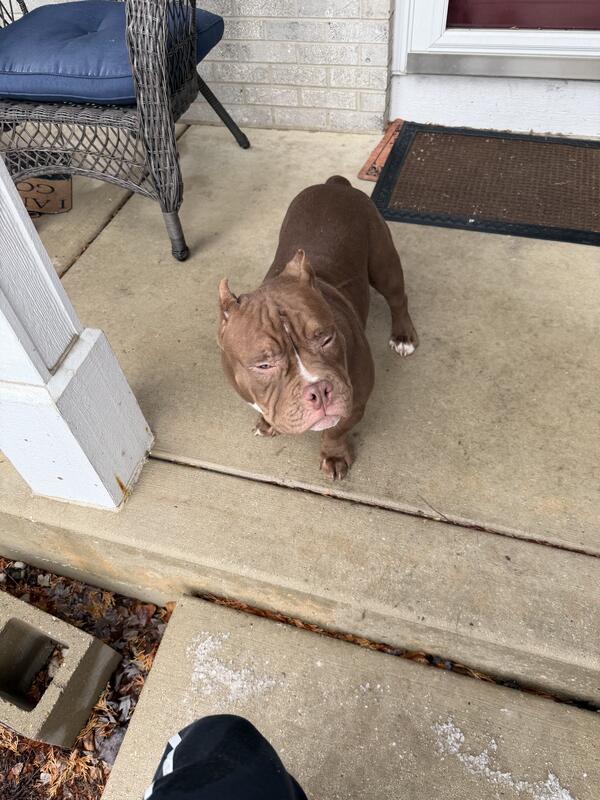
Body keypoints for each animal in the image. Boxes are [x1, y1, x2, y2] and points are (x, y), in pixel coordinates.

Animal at [217, 175, 418, 480]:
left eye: (326, 339)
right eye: (263, 365)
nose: (319, 389)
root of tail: (335, 184)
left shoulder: (354, 402)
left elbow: (335, 431)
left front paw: (333, 456)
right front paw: (267, 422)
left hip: (384, 263)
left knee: (397, 297)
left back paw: (403, 335)